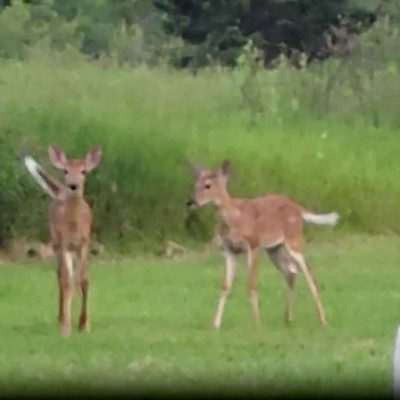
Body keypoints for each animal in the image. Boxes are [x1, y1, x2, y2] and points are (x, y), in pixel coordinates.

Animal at [22, 145, 102, 336]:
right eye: (65, 171)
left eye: (84, 171)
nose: (73, 185)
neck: (74, 226)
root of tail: (60, 192)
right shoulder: (64, 243)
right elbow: (66, 280)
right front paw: (65, 327)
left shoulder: (84, 243)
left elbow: (84, 280)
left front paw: (84, 325)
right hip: (56, 241)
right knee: (61, 276)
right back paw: (60, 319)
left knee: (71, 277)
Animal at [186, 161, 340, 330]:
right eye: (194, 184)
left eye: (208, 185)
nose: (191, 202)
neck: (234, 219)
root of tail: (298, 208)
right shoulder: (228, 250)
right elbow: (225, 285)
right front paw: (215, 324)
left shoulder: (254, 245)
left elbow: (251, 284)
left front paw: (256, 324)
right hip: (274, 249)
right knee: (290, 273)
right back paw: (288, 319)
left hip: (294, 240)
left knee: (310, 275)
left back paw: (322, 321)